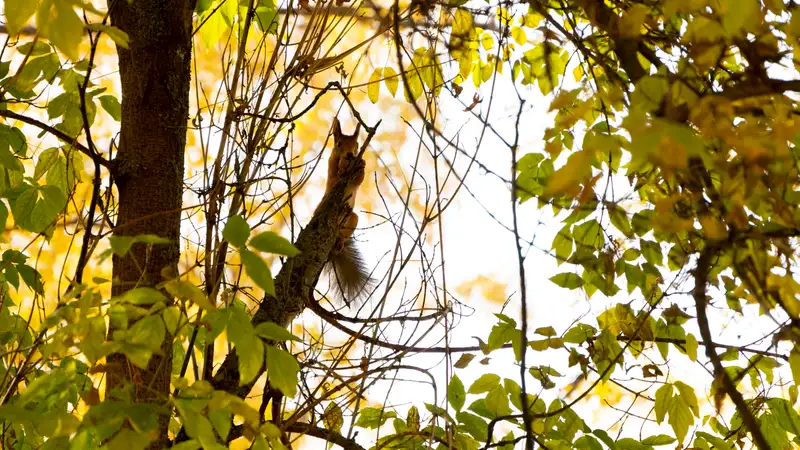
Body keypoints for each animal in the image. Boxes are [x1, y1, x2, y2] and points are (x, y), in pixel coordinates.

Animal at [314, 117, 374, 306]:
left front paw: (362, 163)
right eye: (339, 143)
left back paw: (339, 242)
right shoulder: (331, 170)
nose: (350, 155)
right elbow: (335, 175)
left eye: (356, 145)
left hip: (352, 218)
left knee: (343, 234)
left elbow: (360, 178)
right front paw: (342, 167)